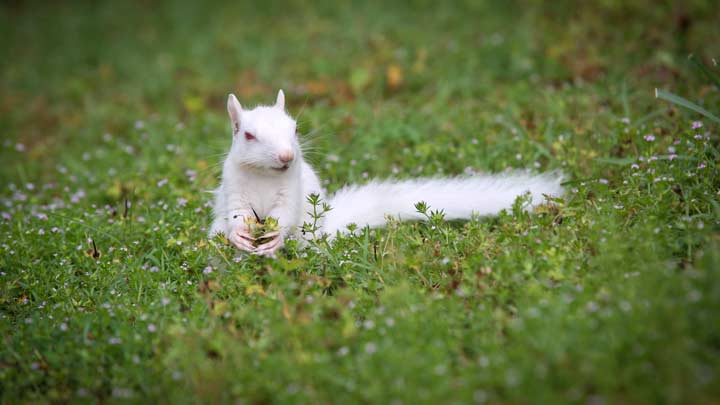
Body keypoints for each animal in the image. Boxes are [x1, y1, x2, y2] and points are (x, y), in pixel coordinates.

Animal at [211, 90, 564, 258]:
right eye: (249, 136)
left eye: (294, 129)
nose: (287, 156)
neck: (265, 176)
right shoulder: (235, 189)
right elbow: (236, 214)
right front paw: (240, 235)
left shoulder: (292, 190)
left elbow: (285, 215)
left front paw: (275, 239)